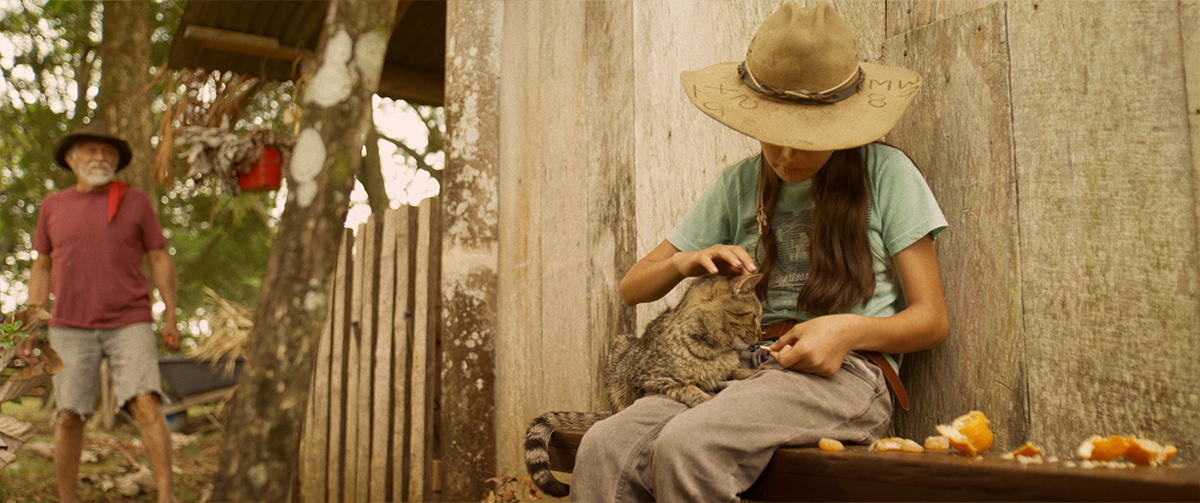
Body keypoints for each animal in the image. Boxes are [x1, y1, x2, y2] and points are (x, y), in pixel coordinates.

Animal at [524, 273, 766, 497]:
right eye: (754, 316)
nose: (760, 335)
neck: (718, 348)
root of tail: (613, 410)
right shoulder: (652, 379)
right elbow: (686, 387)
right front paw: (704, 397)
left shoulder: (728, 364)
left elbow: (737, 369)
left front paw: (757, 371)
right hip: (620, 347)